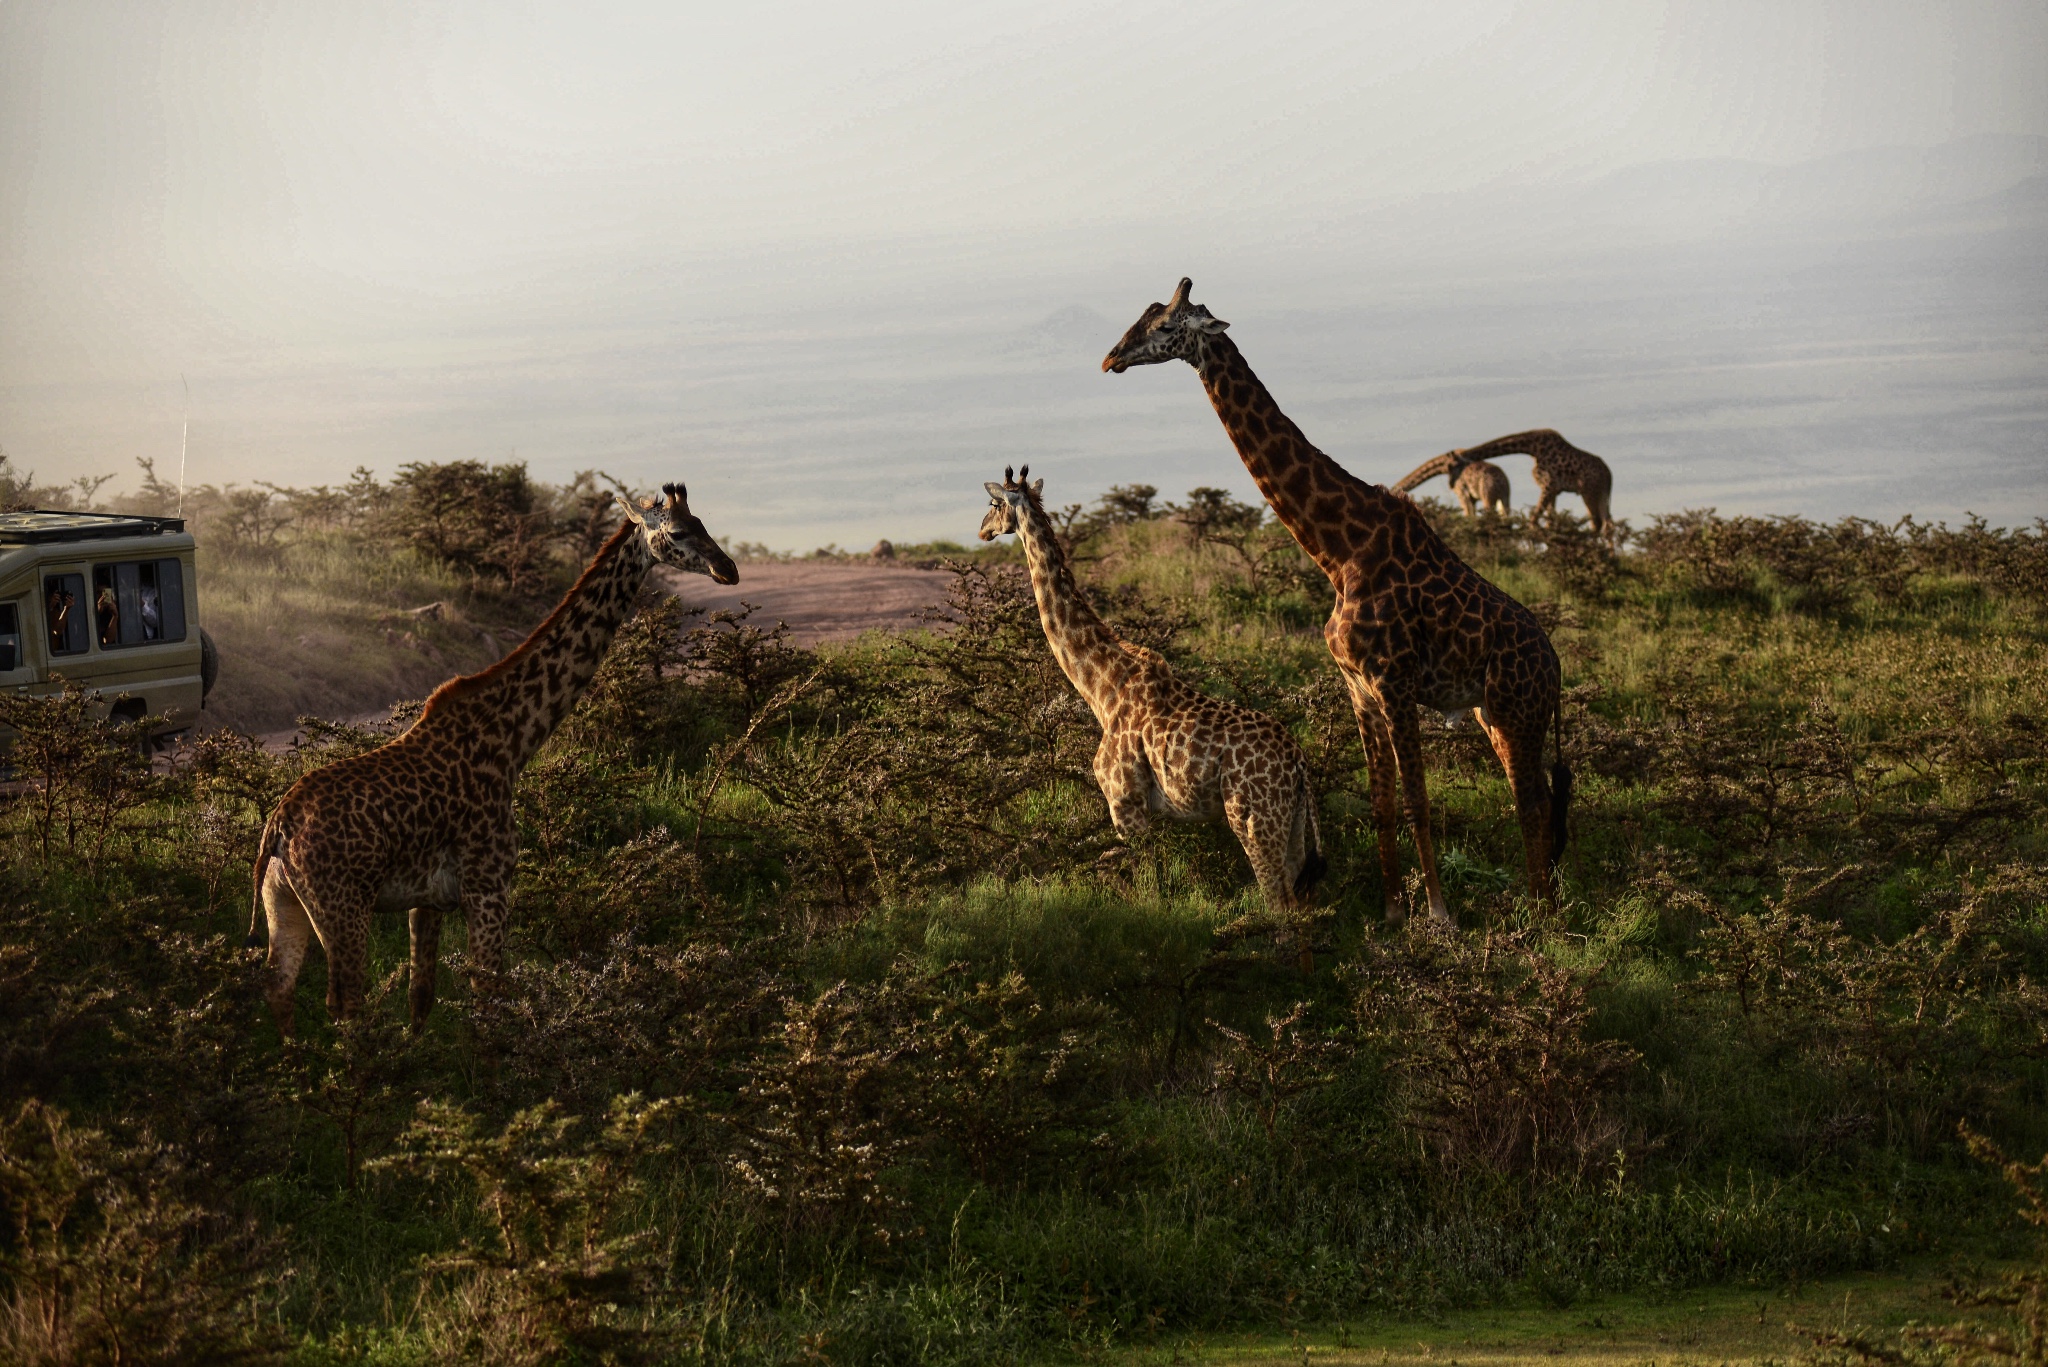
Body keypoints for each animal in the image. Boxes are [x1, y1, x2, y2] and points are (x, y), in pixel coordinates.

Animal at [244, 485, 737, 1032]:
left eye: (704, 523)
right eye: (677, 533)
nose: (728, 570)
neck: (513, 740)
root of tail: (277, 829)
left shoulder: (428, 900)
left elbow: (421, 998)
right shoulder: (489, 885)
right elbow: (487, 998)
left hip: (282, 903)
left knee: (279, 987)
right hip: (343, 907)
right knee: (344, 1004)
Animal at [978, 467, 1327, 930]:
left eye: (993, 503)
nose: (981, 531)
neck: (1102, 687)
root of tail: (1298, 762)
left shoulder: (1126, 805)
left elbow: (1147, 891)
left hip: (1253, 818)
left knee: (1279, 902)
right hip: (1294, 822)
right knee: (1301, 899)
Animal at [1384, 454, 1515, 518]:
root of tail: (1501, 481)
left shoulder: (1462, 494)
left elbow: (1469, 515)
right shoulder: (1471, 498)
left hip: (1487, 496)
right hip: (1505, 498)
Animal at [1441, 430, 1613, 536]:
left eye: (1451, 466)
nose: (1451, 485)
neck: (1531, 448)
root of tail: (1608, 475)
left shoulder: (1548, 486)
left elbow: (1534, 521)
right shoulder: (1553, 490)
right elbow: (1549, 522)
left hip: (1588, 493)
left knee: (1597, 522)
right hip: (1602, 495)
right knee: (1607, 523)